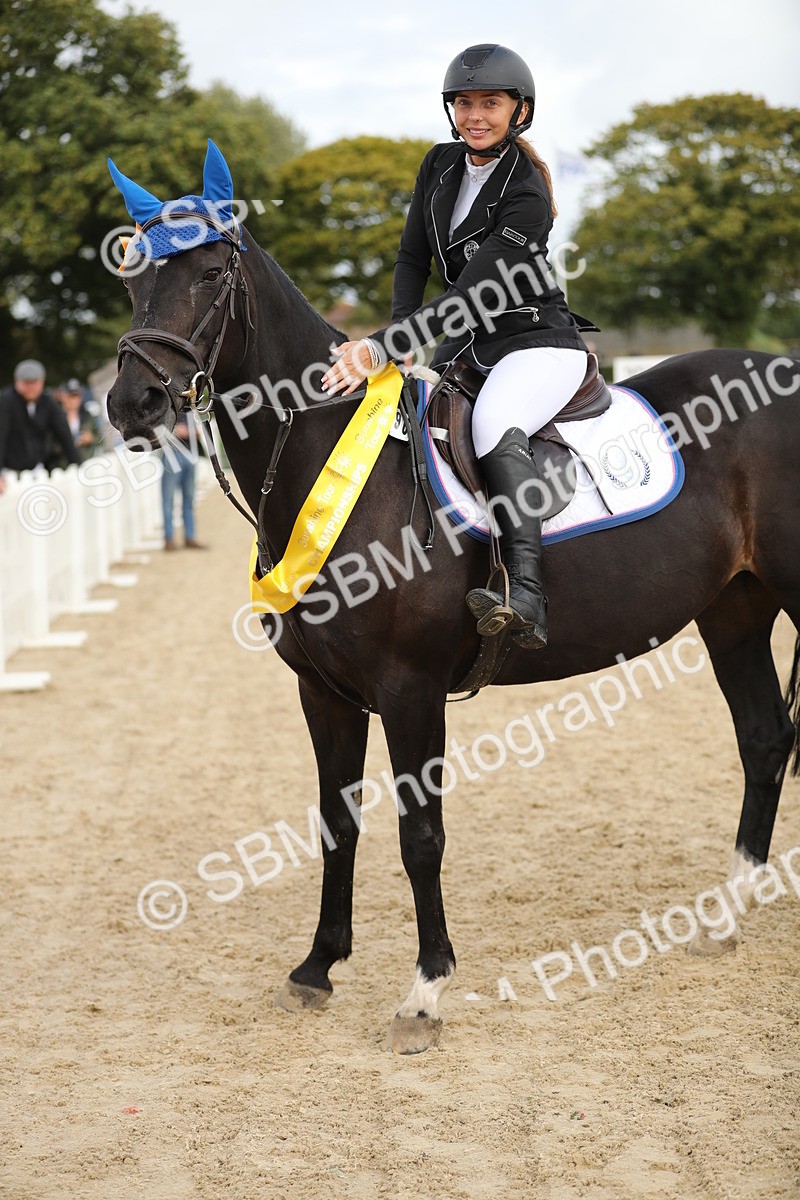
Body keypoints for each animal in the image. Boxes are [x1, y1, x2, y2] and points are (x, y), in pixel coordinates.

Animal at [107, 144, 800, 1053]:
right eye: (132, 275)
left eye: (216, 270)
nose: (134, 402)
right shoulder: (324, 693)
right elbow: (337, 822)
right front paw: (317, 967)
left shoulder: (411, 689)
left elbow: (420, 834)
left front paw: (425, 993)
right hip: (735, 610)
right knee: (764, 738)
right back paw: (724, 915)